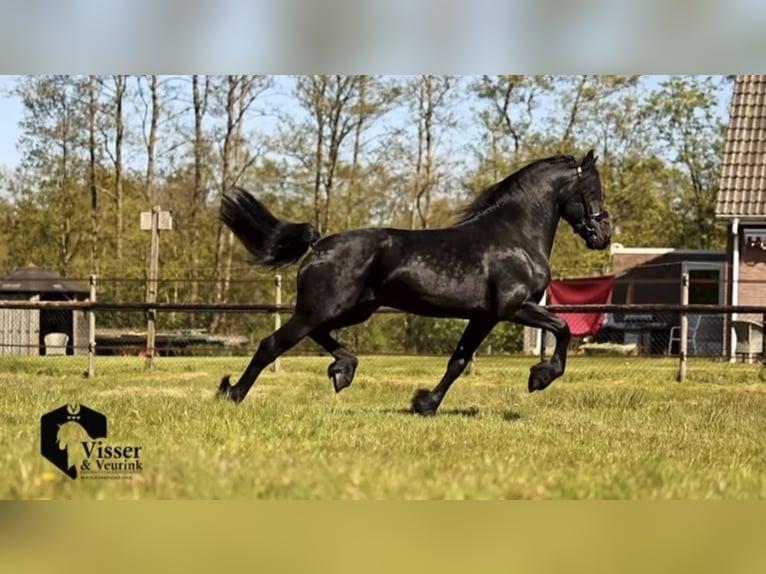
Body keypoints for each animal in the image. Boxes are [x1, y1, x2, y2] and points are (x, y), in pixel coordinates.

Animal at [217, 150, 611, 415]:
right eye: (593, 189)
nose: (603, 235)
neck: (516, 236)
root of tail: (318, 245)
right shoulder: (513, 308)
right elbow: (562, 328)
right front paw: (540, 377)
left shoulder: (484, 316)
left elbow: (458, 361)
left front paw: (425, 403)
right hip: (321, 309)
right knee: (273, 344)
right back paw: (232, 393)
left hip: (354, 309)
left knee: (318, 335)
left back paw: (343, 370)